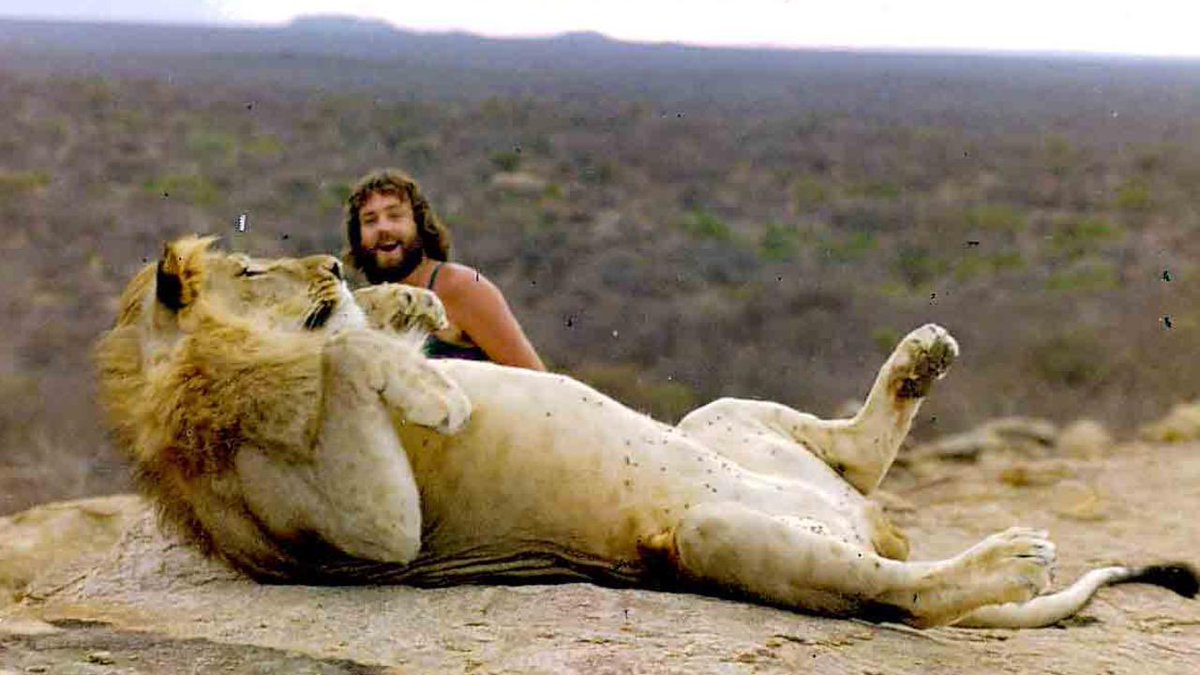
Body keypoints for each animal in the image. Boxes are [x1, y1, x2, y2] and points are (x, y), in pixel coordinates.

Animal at [94, 236, 1197, 628]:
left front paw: (407, 305)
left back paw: (923, 354)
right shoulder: (358, 537)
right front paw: (434, 393)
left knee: (858, 457)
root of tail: (861, 525)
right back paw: (1007, 557)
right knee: (901, 594)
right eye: (251, 268)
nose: (331, 260)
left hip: (724, 427)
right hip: (713, 537)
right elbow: (341, 369)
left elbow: (361, 334)